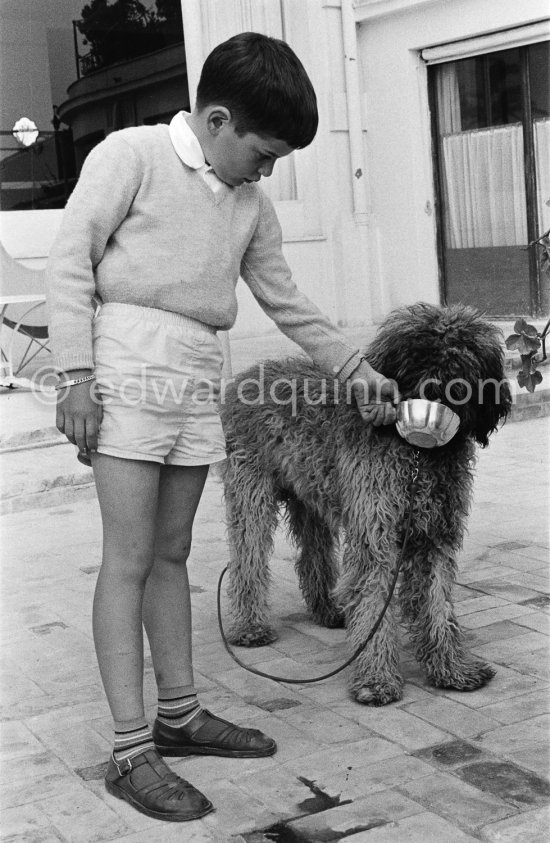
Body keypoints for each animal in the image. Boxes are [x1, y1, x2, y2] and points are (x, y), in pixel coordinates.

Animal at [222, 304, 516, 704]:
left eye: (459, 358)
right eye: (419, 356)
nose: (437, 387)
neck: (418, 455)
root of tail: (247, 376)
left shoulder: (435, 535)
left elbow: (438, 602)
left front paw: (452, 667)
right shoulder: (375, 535)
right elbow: (375, 600)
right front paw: (376, 679)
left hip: (310, 501)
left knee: (312, 558)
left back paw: (329, 610)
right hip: (251, 495)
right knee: (247, 560)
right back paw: (250, 627)